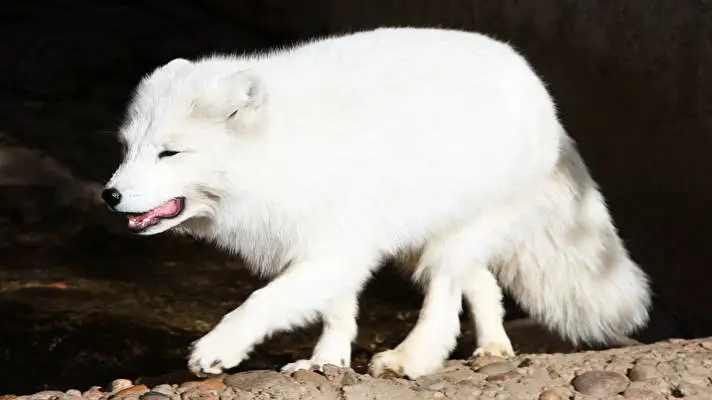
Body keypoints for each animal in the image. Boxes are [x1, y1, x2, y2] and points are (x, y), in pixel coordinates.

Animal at [102, 27, 651, 379]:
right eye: (126, 149)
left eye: (170, 153)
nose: (109, 196)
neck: (284, 151)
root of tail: (537, 87)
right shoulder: (335, 244)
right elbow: (337, 312)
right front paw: (326, 363)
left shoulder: (336, 250)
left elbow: (264, 301)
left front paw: (218, 349)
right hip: (423, 235)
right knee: (484, 285)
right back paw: (494, 346)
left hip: (450, 240)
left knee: (445, 302)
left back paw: (411, 360)